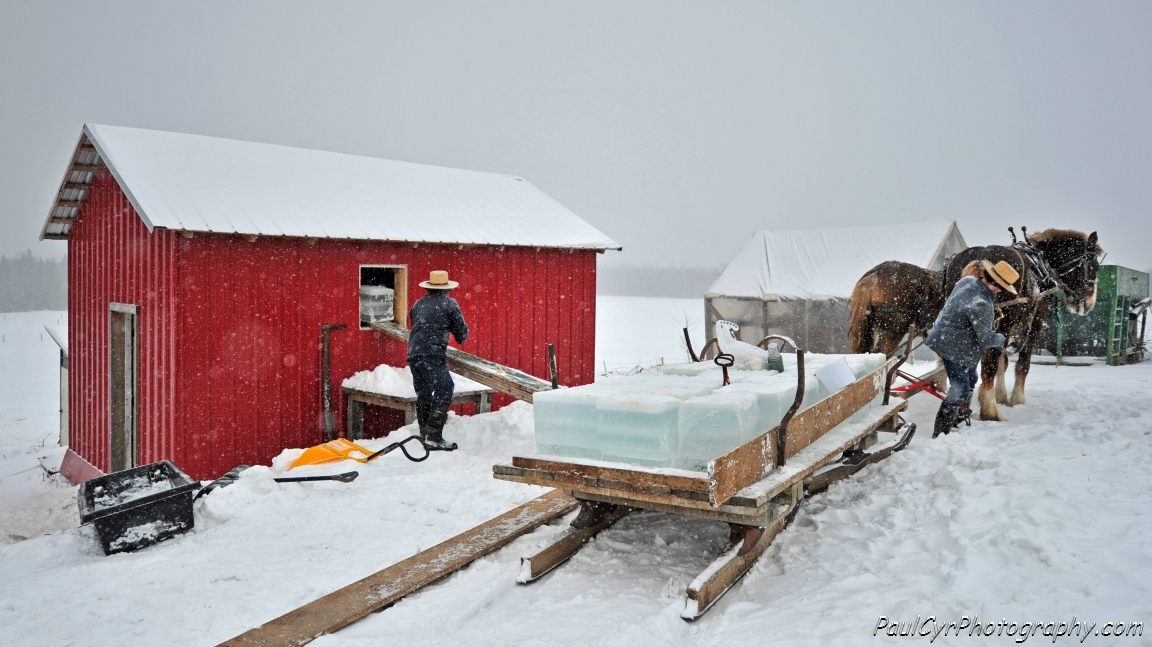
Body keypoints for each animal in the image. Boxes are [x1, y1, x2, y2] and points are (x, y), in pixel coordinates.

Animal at [944, 229, 1105, 421]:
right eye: (1093, 267)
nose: (1089, 303)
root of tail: (981, 258)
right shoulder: (1034, 326)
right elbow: (1022, 364)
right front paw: (1017, 399)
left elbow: (1003, 363)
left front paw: (1002, 396)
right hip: (1002, 325)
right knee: (989, 366)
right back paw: (990, 410)